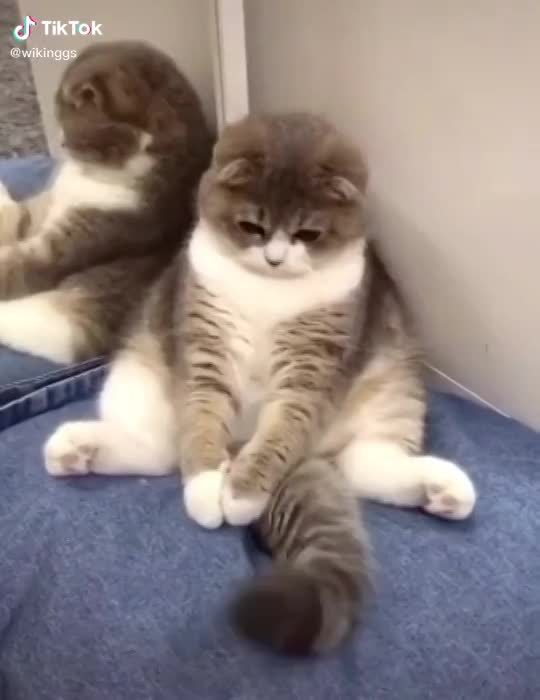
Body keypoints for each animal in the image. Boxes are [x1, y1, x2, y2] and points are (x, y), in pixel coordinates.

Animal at [0, 40, 211, 364]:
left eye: (69, 122)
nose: (61, 142)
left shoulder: (73, 242)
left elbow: (14, 265)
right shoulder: (43, 211)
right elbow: (15, 215)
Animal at [42, 113, 476, 654]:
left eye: (309, 233)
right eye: (251, 226)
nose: (274, 258)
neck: (269, 290)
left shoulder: (313, 367)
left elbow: (283, 430)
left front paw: (243, 493)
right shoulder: (206, 345)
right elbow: (201, 421)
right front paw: (208, 488)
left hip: (394, 385)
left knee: (363, 463)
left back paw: (442, 488)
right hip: (135, 369)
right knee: (162, 450)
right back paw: (76, 450)